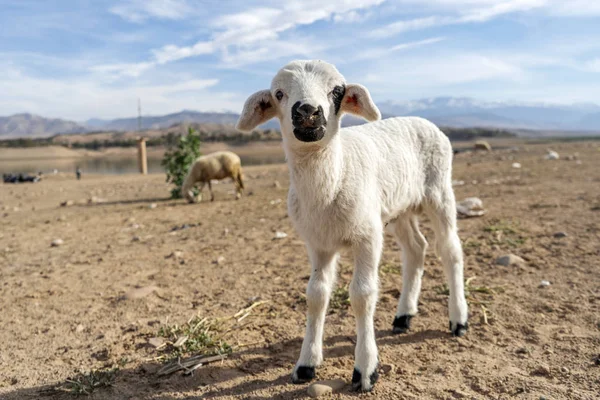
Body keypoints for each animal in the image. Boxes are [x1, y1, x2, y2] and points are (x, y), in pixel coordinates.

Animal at [236, 59, 468, 390]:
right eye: (279, 93)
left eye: (337, 90)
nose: (307, 111)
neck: (332, 179)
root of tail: (423, 120)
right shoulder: (317, 243)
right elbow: (316, 295)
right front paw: (306, 364)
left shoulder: (368, 237)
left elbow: (362, 295)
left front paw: (365, 370)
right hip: (398, 208)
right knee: (416, 249)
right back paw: (404, 316)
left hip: (439, 192)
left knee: (450, 251)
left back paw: (458, 319)